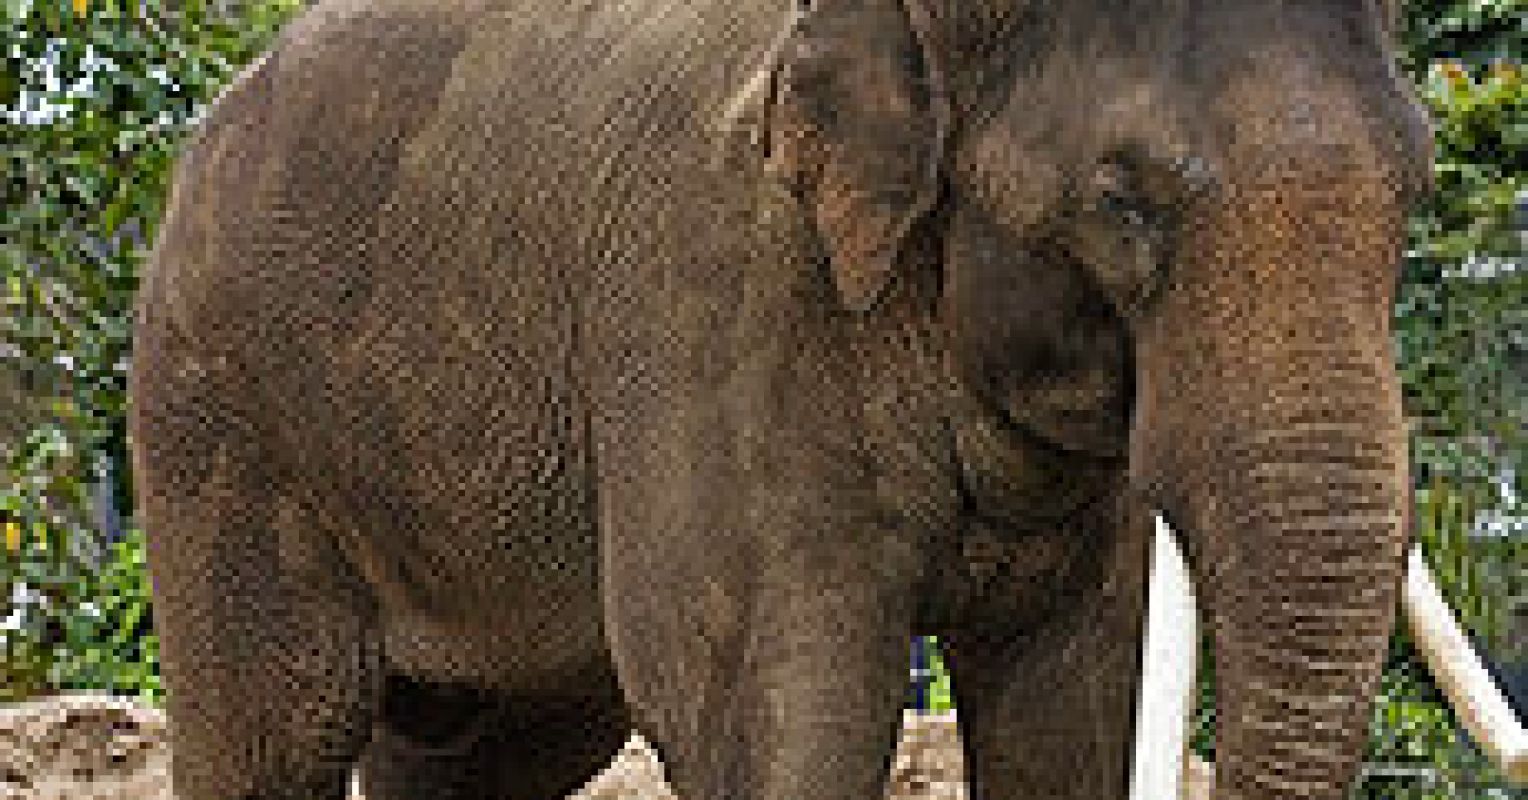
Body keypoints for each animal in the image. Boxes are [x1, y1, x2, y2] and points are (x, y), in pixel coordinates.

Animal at [126, 0, 1435, 798]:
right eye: (1123, 202)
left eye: (1415, 187)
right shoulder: (723, 311)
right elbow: (785, 715)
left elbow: (1074, 711)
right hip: (217, 420)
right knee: (275, 727)